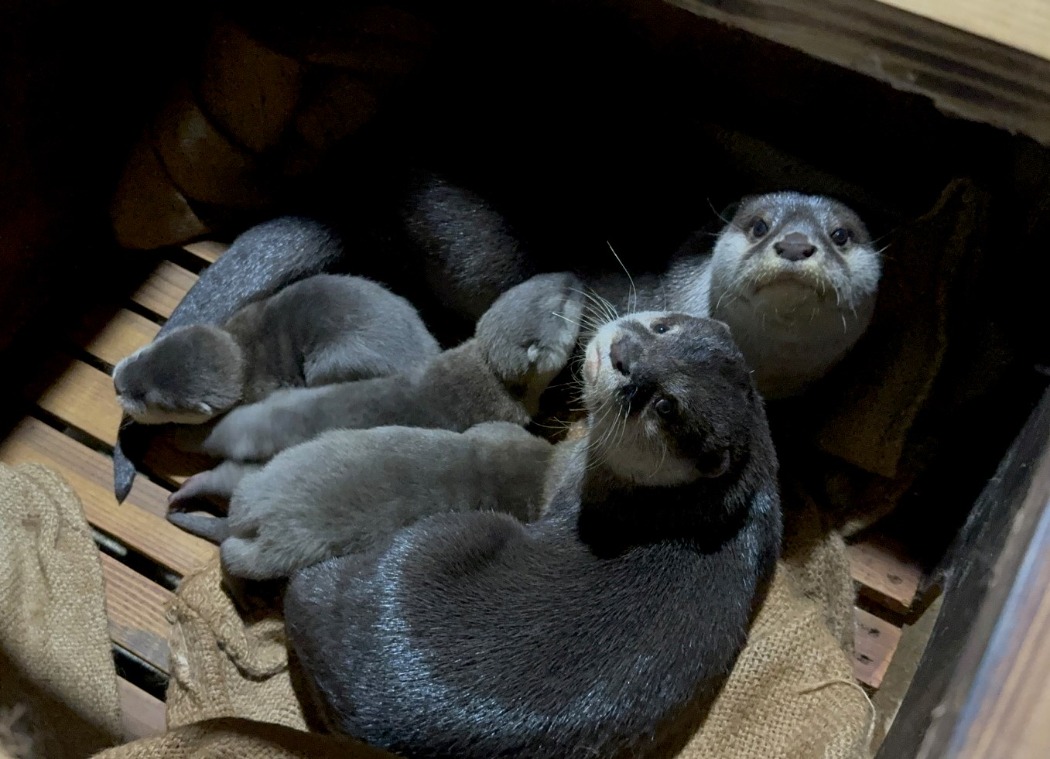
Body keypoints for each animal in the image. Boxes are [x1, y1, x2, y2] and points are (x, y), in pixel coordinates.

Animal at [283, 312, 785, 759]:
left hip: (451, 536)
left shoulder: (570, 472)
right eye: (663, 328)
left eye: (665, 406)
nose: (625, 353)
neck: (676, 504)